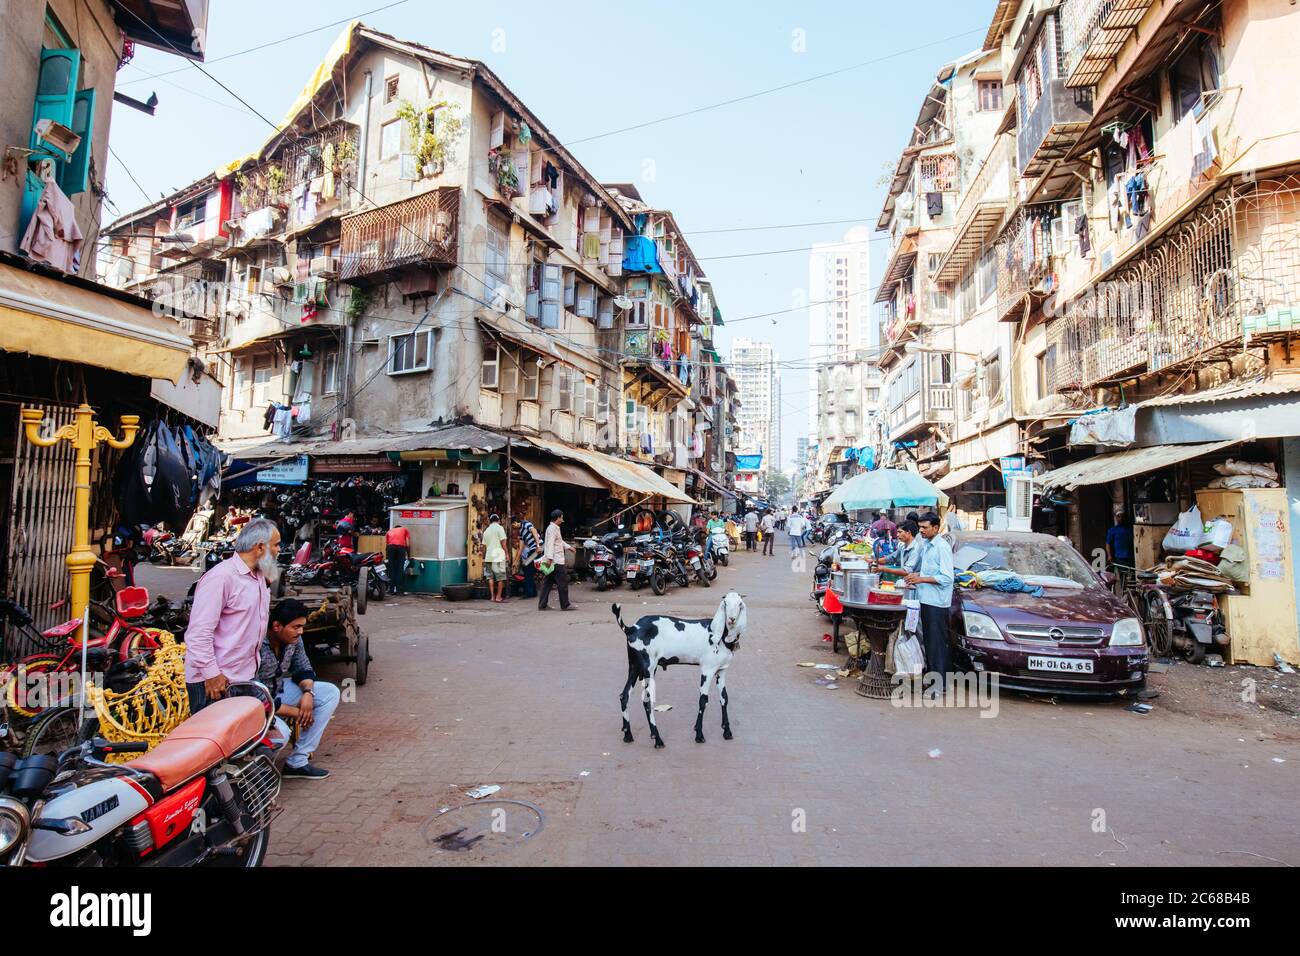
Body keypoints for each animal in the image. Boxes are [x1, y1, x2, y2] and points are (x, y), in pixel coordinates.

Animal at [608, 590, 743, 749]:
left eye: (740, 604)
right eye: (725, 603)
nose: (732, 619)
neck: (719, 634)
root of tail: (632, 628)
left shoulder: (721, 671)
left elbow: (724, 698)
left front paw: (727, 731)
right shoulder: (707, 670)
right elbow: (703, 700)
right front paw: (699, 735)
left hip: (634, 667)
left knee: (624, 696)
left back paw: (628, 735)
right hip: (648, 667)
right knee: (647, 701)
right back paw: (657, 739)